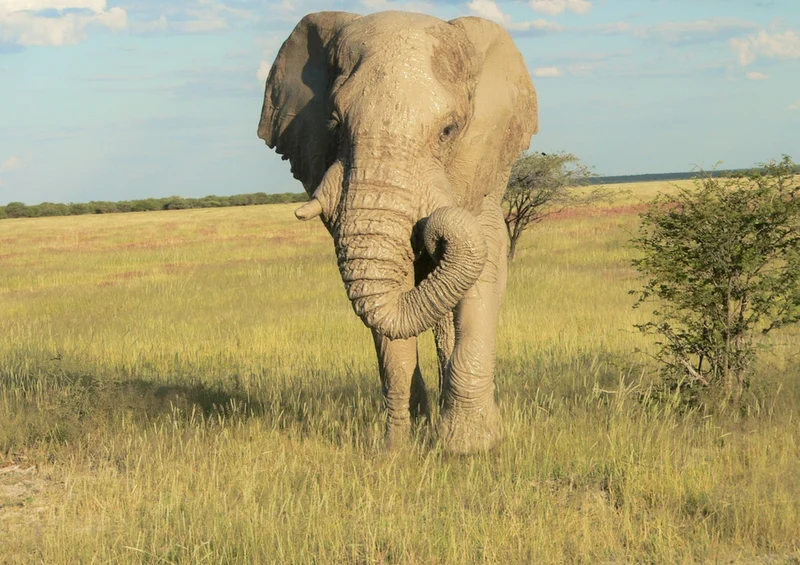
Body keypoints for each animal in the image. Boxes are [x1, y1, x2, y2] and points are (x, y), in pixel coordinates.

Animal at [257, 10, 538, 454]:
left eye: (448, 131)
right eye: (335, 125)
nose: (432, 233)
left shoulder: (481, 169)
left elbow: (483, 276)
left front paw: (469, 447)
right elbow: (388, 311)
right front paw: (399, 449)